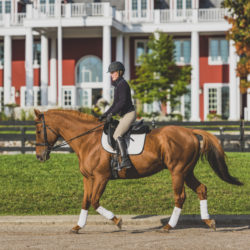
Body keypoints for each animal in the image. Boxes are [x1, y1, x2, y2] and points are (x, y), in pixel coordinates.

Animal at [34, 109, 242, 232]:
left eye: (37, 131)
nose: (39, 156)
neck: (88, 140)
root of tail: (190, 131)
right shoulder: (88, 178)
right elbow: (86, 201)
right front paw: (78, 226)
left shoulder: (101, 177)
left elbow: (94, 201)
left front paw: (118, 221)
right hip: (186, 172)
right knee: (201, 189)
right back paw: (208, 221)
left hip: (177, 171)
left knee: (180, 197)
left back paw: (169, 226)